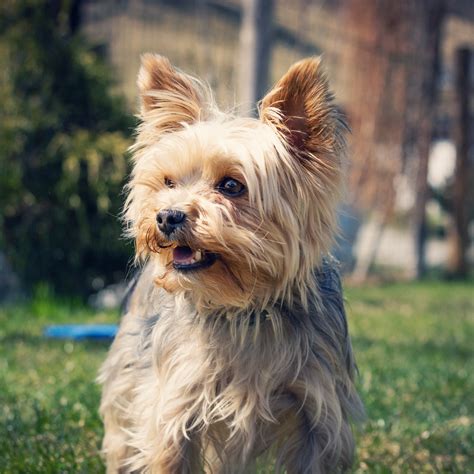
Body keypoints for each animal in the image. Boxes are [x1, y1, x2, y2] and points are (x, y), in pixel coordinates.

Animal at [100, 53, 362, 472]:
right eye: (169, 182)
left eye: (231, 186)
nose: (166, 216)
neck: (246, 309)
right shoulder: (174, 406)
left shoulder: (318, 414)